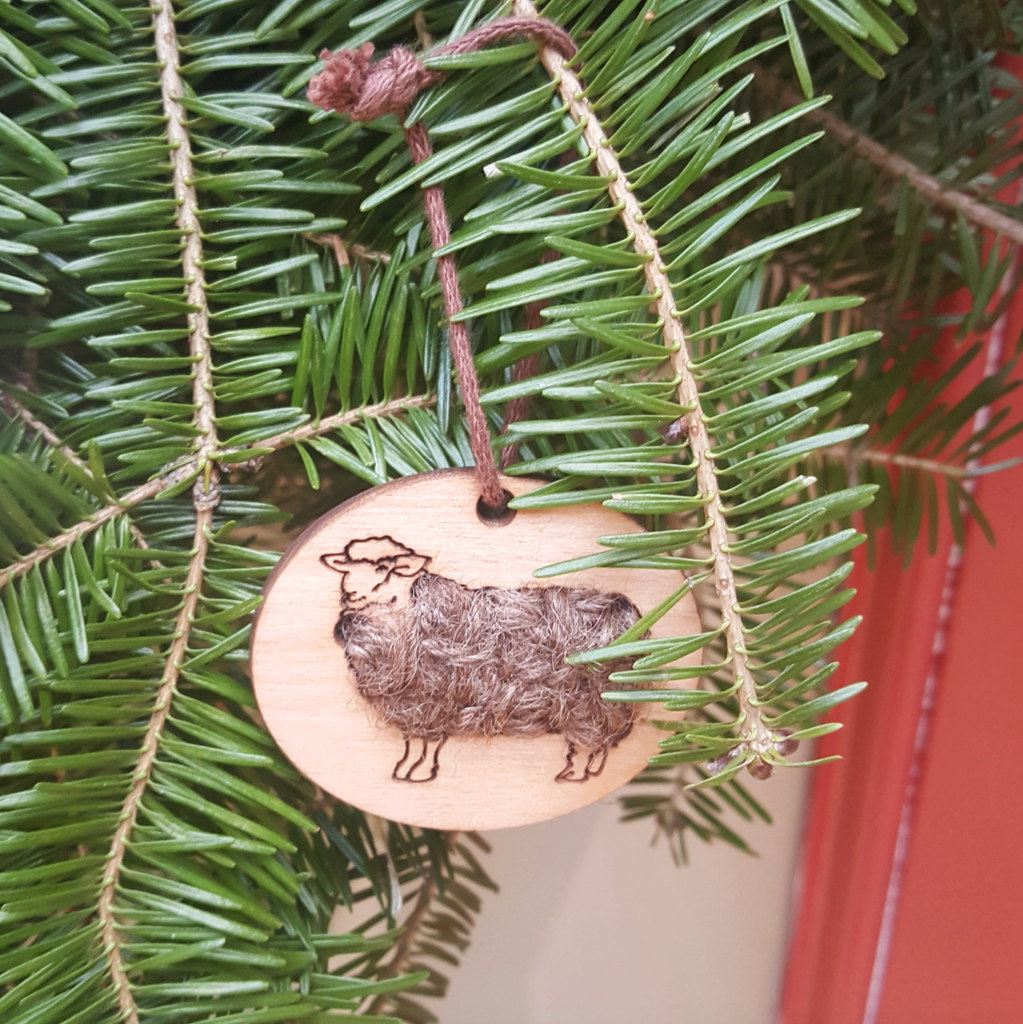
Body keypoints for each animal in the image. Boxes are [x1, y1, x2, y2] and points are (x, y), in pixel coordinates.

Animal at [320, 536, 642, 783]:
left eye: (384, 567)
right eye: (346, 569)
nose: (349, 595)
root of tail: (629, 611)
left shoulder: (431, 708)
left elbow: (428, 746)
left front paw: (418, 774)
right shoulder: (412, 713)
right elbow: (413, 746)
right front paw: (403, 772)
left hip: (594, 711)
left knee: (591, 745)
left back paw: (574, 775)